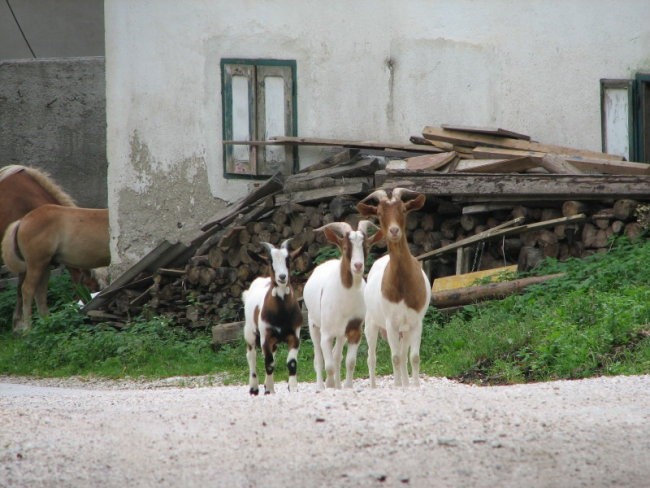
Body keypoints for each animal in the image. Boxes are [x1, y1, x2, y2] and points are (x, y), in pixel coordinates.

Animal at [1, 202, 109, 332]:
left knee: (40, 293)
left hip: (45, 266)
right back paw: (28, 329)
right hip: (36, 264)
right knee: (27, 290)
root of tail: (22, 221)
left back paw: (46, 323)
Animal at [243, 240, 304, 396]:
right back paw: (254, 388)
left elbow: (291, 363)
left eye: (288, 259)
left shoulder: (294, 335)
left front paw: (292, 387)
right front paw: (269, 390)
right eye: (270, 261)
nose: (282, 277)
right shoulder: (266, 336)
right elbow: (269, 363)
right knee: (251, 356)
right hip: (250, 332)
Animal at [354, 189, 430, 386]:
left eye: (403, 209)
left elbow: (413, 357)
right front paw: (397, 386)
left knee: (403, 356)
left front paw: (415, 386)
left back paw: (405, 382)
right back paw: (376, 386)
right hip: (372, 324)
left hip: (404, 331)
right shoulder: (391, 323)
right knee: (372, 357)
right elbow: (394, 357)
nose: (394, 231)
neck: (403, 286)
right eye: (379, 213)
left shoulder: (416, 322)